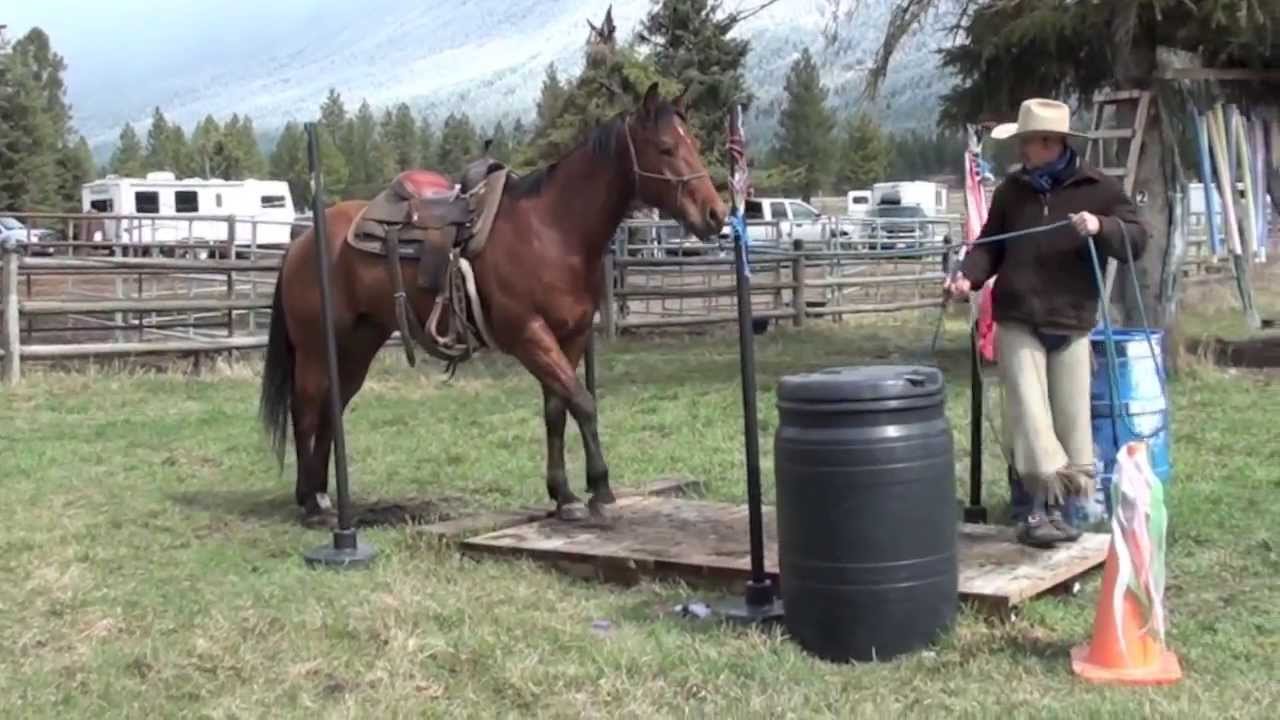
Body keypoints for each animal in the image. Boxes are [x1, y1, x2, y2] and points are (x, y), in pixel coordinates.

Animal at [258, 83, 728, 523]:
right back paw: (311, 502)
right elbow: (583, 402)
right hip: (317, 347)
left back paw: (322, 494)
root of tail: (303, 239)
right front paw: (601, 490)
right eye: (666, 148)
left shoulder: (571, 336)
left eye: (693, 143)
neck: (553, 230)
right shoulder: (529, 335)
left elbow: (557, 409)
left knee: (332, 406)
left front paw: (565, 496)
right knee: (306, 407)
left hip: (359, 343)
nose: (716, 214)